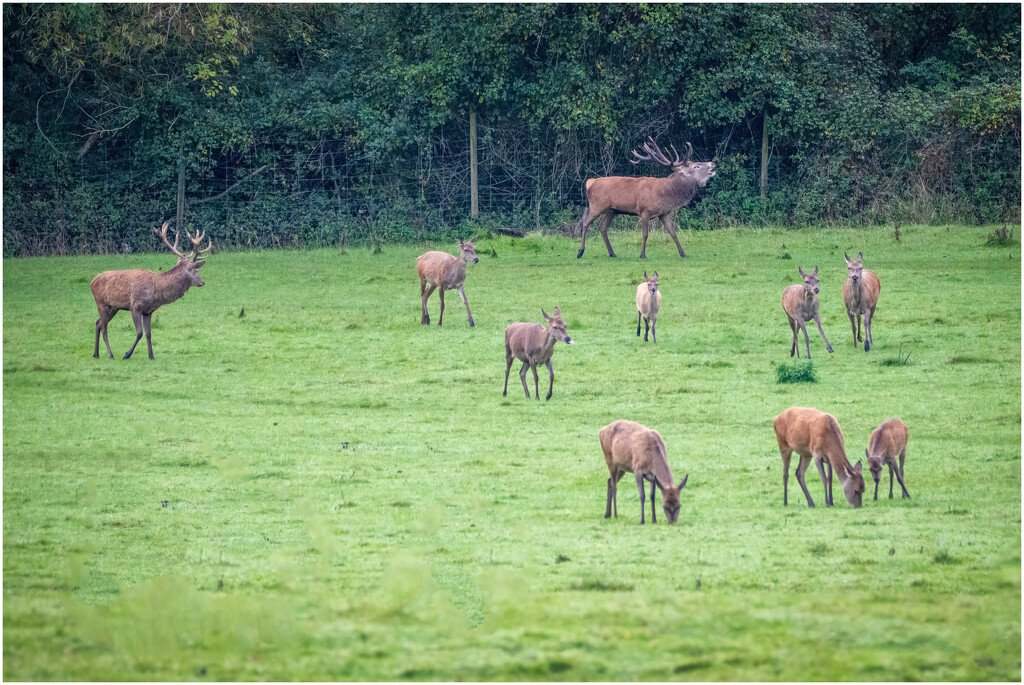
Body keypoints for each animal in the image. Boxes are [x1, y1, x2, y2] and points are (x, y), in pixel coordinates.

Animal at [92, 222, 211, 360]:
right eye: (197, 271)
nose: (202, 282)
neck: (156, 292)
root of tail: (92, 282)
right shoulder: (135, 306)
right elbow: (139, 332)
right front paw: (127, 354)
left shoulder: (148, 311)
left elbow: (148, 333)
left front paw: (151, 356)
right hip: (101, 303)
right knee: (104, 328)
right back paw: (110, 355)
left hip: (113, 307)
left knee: (98, 323)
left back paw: (96, 354)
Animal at [577, 138, 720, 259]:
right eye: (696, 166)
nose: (712, 163)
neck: (663, 194)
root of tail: (590, 182)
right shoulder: (644, 210)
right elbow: (645, 234)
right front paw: (642, 255)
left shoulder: (664, 213)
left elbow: (673, 232)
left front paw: (683, 254)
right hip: (596, 205)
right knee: (585, 222)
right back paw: (580, 252)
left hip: (611, 210)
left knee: (602, 227)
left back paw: (612, 253)